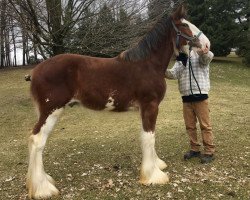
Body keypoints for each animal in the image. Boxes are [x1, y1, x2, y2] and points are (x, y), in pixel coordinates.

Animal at [25, 4, 209, 198]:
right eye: (185, 25)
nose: (207, 45)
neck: (148, 64)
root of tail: (35, 71)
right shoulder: (150, 106)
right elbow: (149, 137)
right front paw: (153, 176)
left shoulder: (145, 109)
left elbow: (148, 136)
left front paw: (157, 164)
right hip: (52, 111)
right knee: (37, 141)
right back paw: (43, 189)